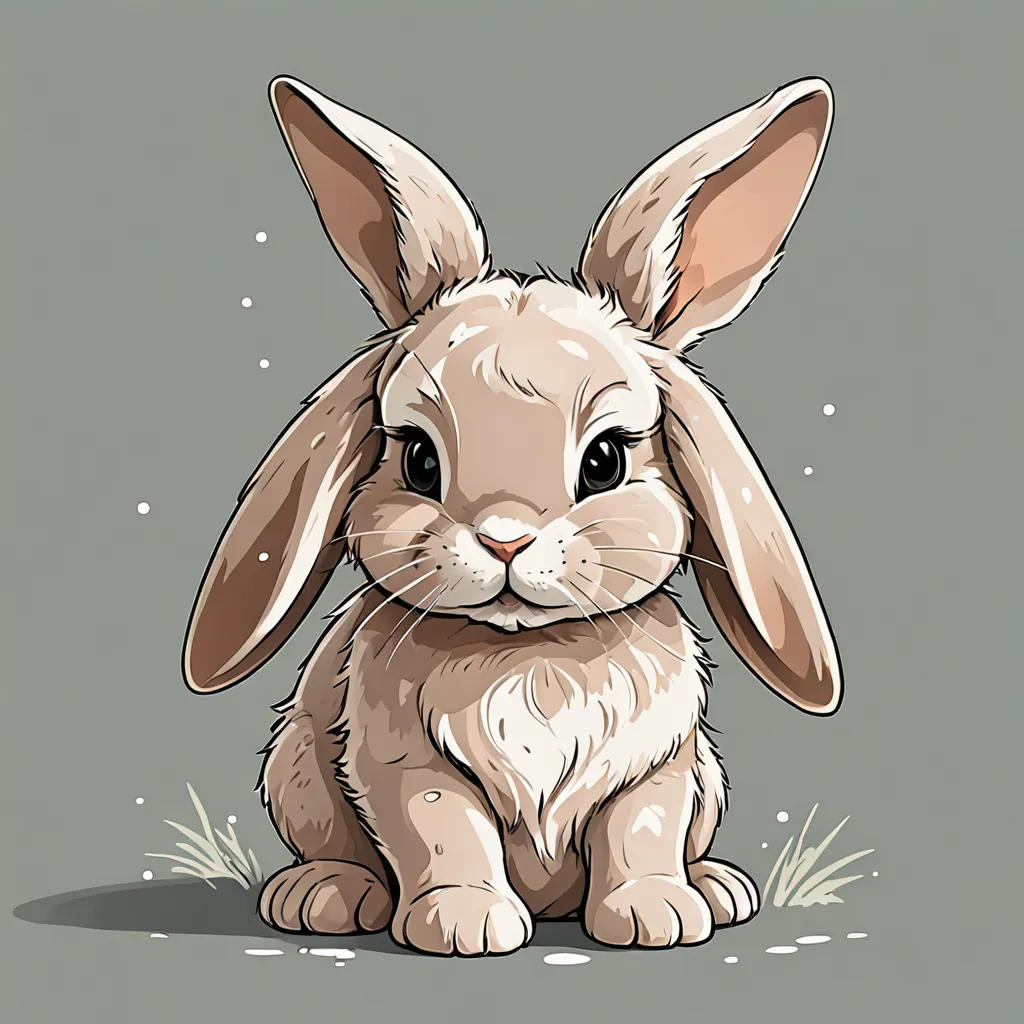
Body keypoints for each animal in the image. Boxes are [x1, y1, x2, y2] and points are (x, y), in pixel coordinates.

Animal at [182, 74, 841, 956]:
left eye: (605, 460)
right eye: (419, 459)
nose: (505, 539)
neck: (530, 653)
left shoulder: (660, 766)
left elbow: (640, 832)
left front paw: (656, 917)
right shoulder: (405, 770)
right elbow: (443, 834)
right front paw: (465, 926)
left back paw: (716, 888)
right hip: (297, 773)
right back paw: (322, 896)